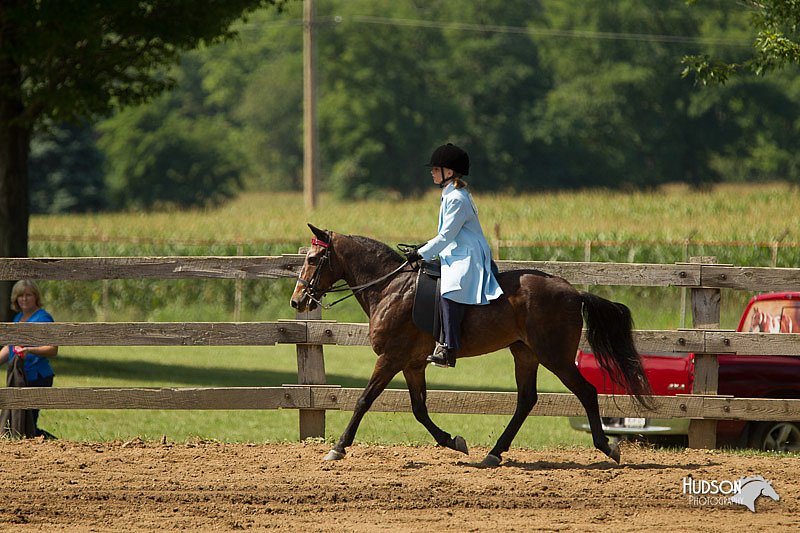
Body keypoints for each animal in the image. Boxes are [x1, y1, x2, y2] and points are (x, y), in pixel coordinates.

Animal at [290, 224, 652, 466]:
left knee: (586, 392)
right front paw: (453, 441)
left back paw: (608, 447)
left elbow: (364, 400)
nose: (297, 301)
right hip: (525, 353)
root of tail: (574, 292)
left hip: (555, 356)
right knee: (526, 400)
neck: (390, 287)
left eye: (314, 259)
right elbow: (419, 409)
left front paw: (338, 448)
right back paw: (493, 454)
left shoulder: (391, 359)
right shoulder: (412, 364)